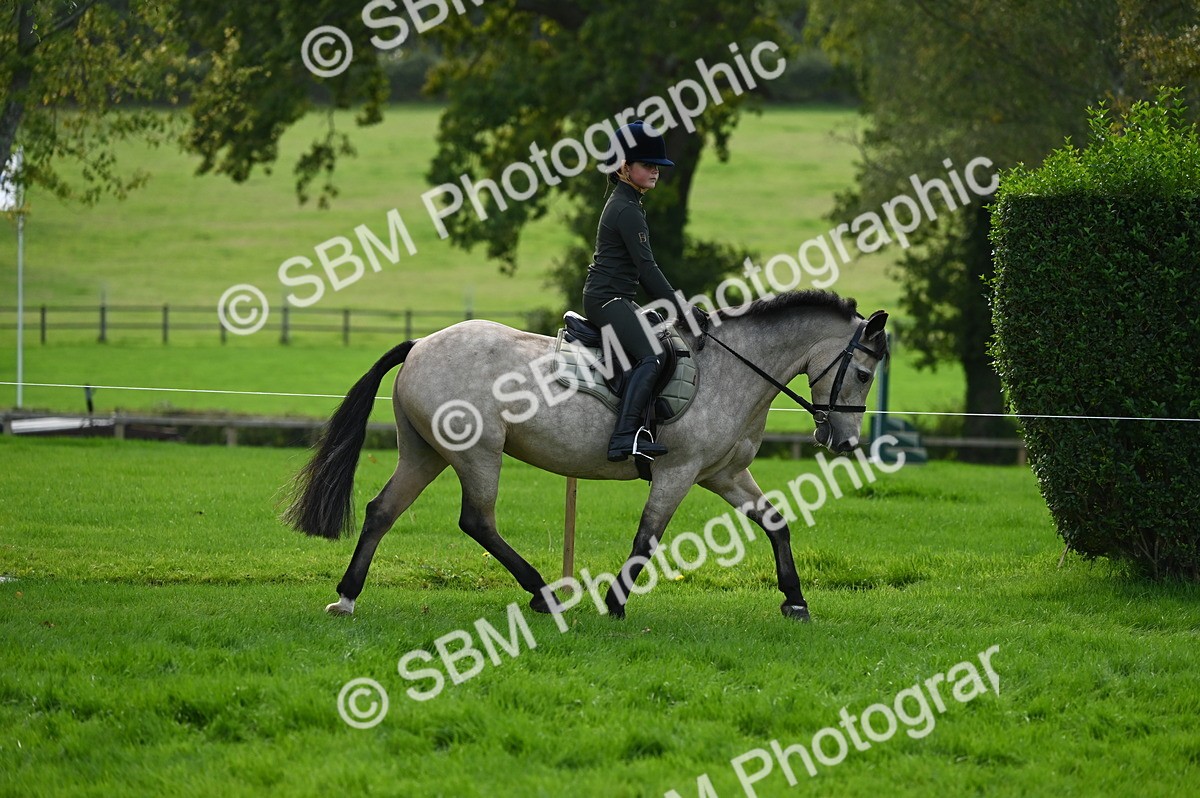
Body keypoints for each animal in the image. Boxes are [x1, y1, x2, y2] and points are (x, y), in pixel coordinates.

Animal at [284, 289, 889, 622]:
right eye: (863, 372)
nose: (844, 443)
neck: (735, 368)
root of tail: (421, 344)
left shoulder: (724, 473)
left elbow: (777, 523)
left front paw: (796, 601)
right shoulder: (678, 472)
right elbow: (647, 538)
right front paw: (615, 602)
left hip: (425, 453)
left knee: (382, 511)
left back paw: (347, 598)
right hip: (479, 452)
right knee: (477, 520)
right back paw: (544, 595)